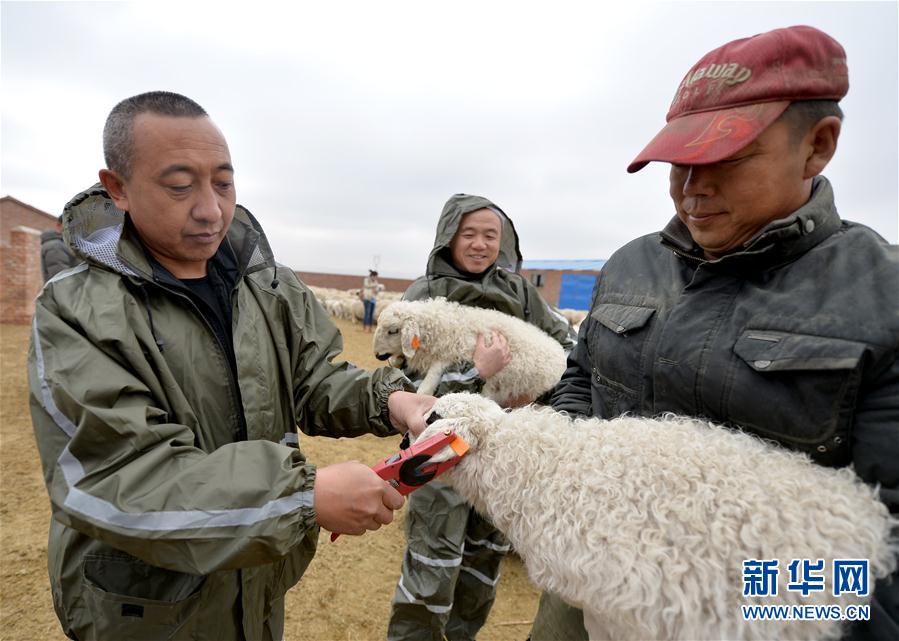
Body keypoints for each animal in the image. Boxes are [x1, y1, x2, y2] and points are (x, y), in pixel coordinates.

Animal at [370, 298, 568, 402]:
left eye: (393, 331)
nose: (377, 355)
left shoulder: (459, 350)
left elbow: (433, 375)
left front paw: (423, 393)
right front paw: (397, 360)